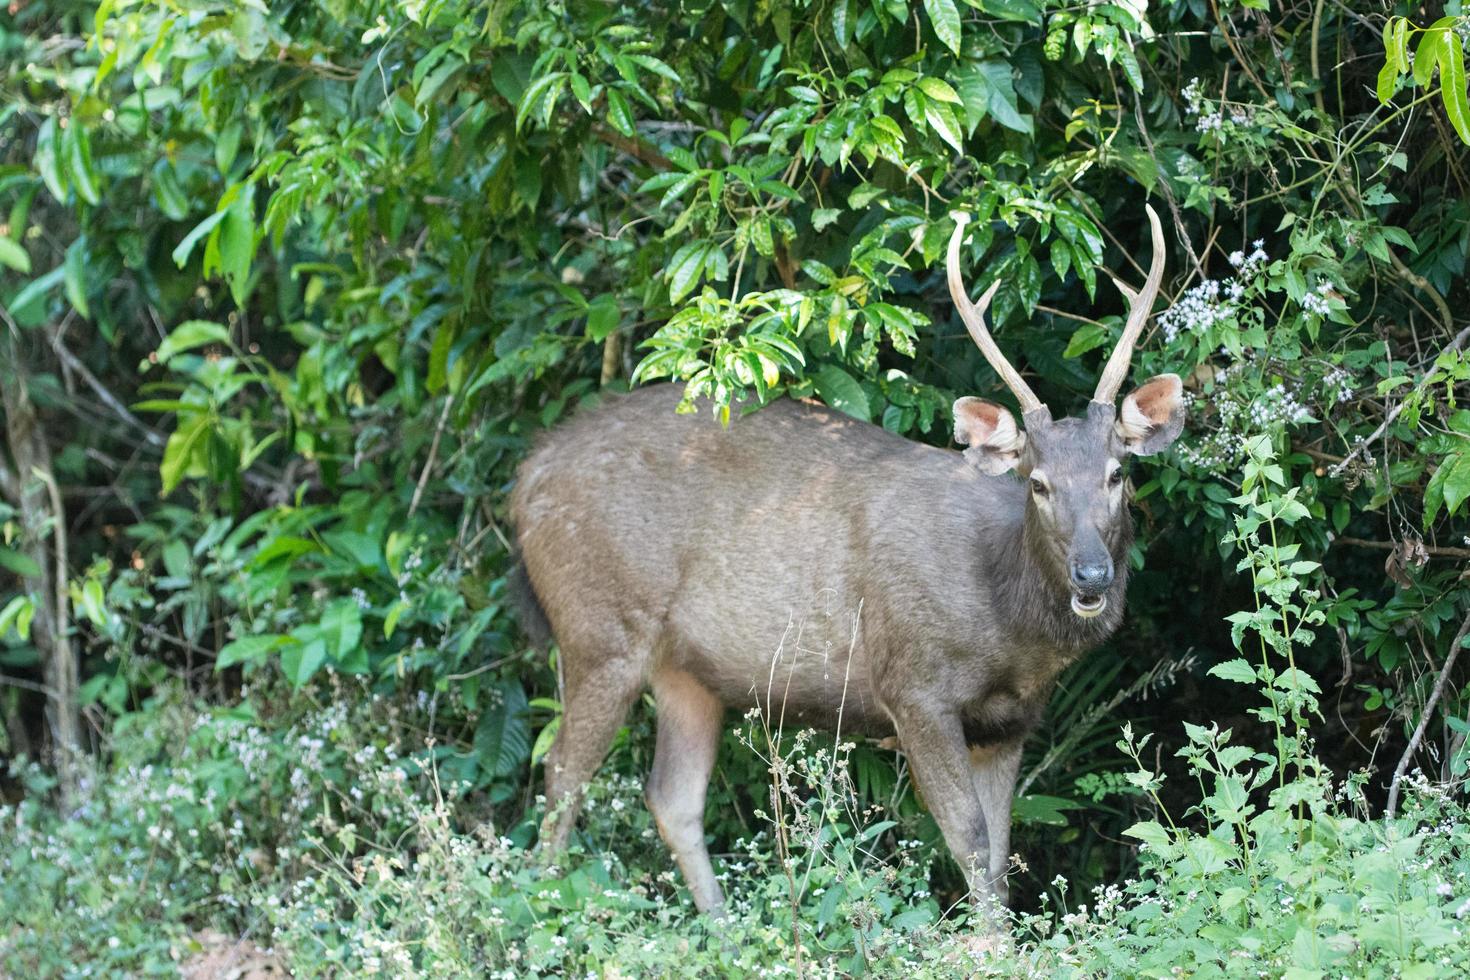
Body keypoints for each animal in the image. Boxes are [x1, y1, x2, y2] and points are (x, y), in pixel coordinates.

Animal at [508, 205, 1181, 922]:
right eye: (1039, 483)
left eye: (1117, 474)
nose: (1092, 576)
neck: (1009, 628)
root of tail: (524, 481)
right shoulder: (913, 687)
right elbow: (969, 843)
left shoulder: (1009, 721)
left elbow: (1000, 857)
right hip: (599, 628)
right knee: (563, 776)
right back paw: (545, 912)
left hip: (687, 669)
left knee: (672, 795)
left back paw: (722, 927)